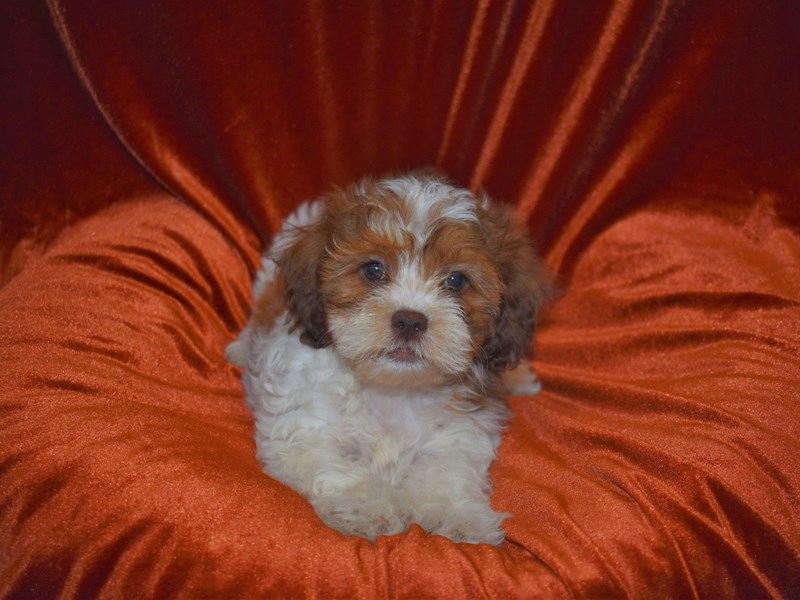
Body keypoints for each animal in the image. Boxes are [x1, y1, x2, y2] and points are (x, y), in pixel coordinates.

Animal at [227, 170, 552, 544]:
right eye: (373, 270)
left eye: (456, 280)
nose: (409, 320)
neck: (394, 389)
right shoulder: (304, 428)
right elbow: (338, 468)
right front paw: (366, 507)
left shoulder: (457, 435)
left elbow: (446, 474)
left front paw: (460, 517)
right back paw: (241, 349)